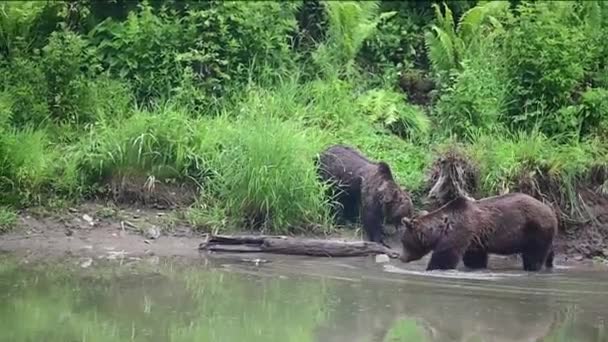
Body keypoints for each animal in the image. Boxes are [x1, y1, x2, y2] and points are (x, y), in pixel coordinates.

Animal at [402, 191, 560, 272]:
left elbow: (444, 258)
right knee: (548, 251)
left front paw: (433, 268)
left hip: (535, 228)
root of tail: (550, 209)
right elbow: (475, 259)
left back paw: (532, 268)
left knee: (534, 255)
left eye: (404, 242)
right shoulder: (474, 241)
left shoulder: (459, 233)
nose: (401, 257)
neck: (440, 231)